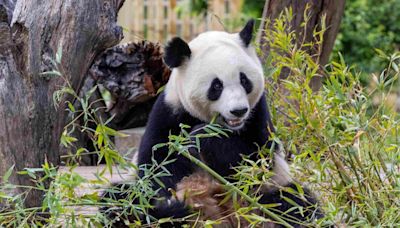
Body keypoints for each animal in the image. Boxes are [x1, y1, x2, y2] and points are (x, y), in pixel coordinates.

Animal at [102, 20, 322, 228]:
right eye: (216, 86)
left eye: (244, 80)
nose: (239, 110)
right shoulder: (168, 112)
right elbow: (158, 166)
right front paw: (170, 204)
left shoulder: (258, 113)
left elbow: (256, 159)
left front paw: (202, 137)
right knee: (121, 199)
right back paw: (172, 213)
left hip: (267, 192)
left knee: (294, 203)